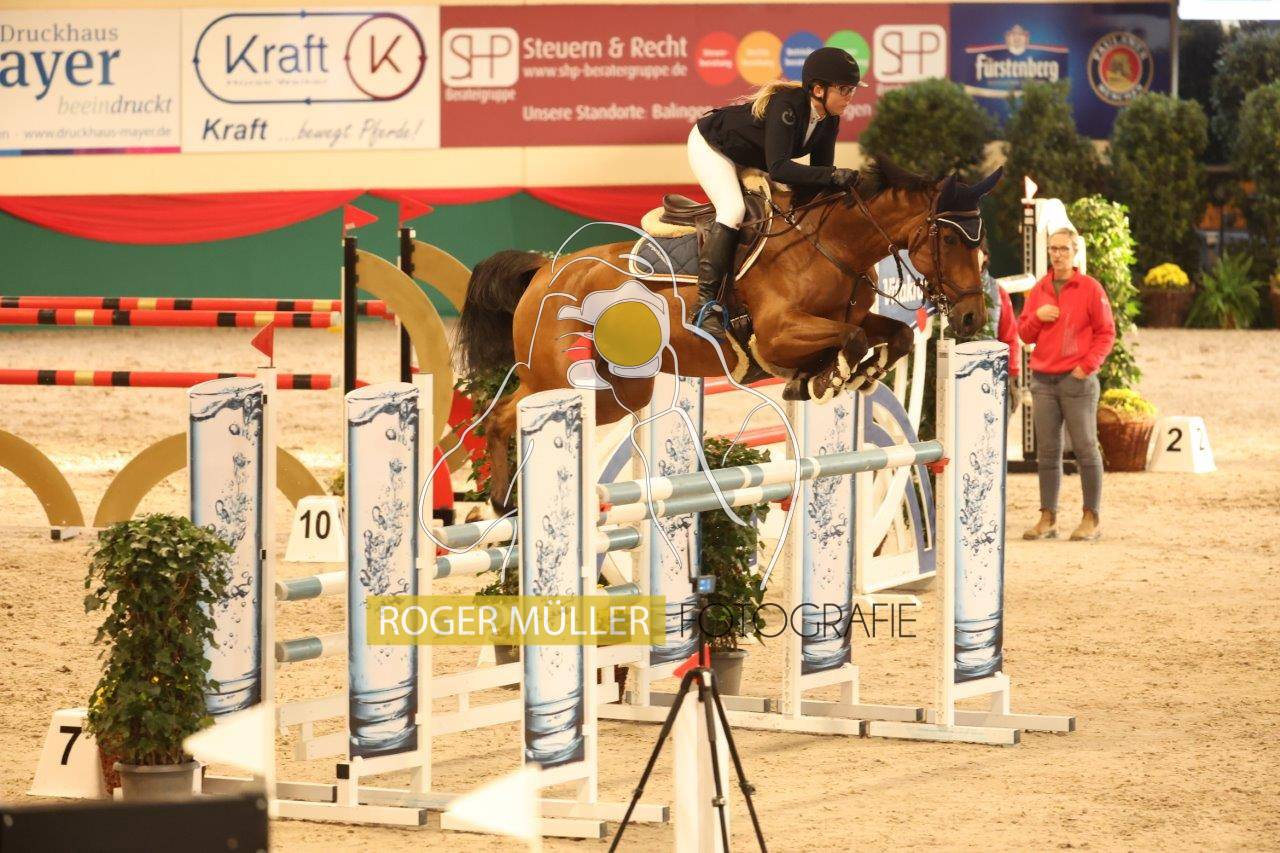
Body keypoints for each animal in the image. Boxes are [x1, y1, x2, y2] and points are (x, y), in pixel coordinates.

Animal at [457, 159, 1002, 507]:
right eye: (950, 237)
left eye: (981, 238)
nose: (972, 319)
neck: (831, 244)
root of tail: (544, 271)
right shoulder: (777, 335)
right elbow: (852, 339)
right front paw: (827, 378)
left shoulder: (852, 315)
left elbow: (893, 336)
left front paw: (848, 377)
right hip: (558, 378)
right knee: (502, 417)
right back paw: (503, 499)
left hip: (620, 390)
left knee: (511, 415)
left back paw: (505, 500)